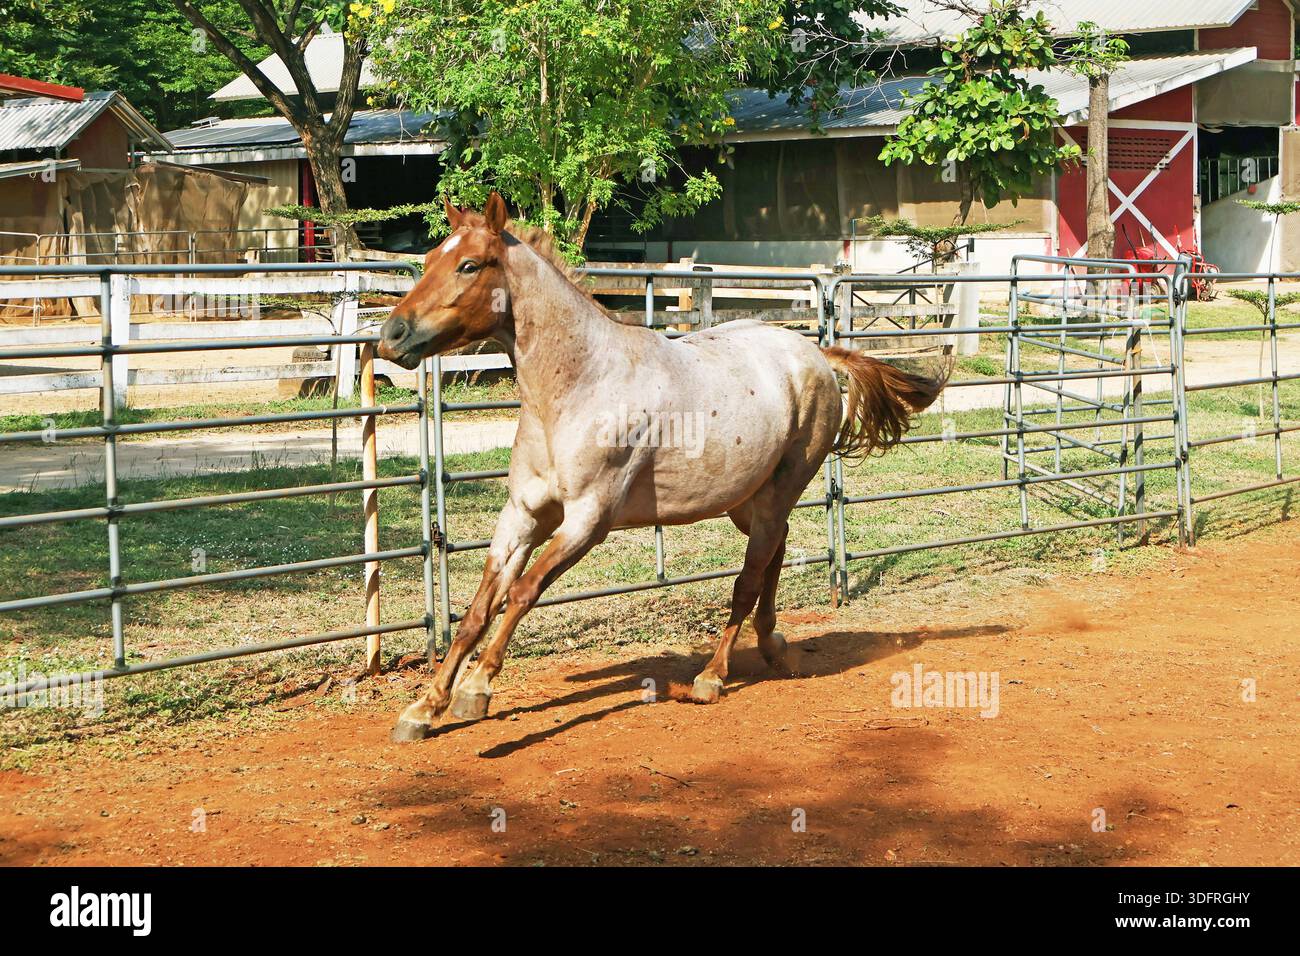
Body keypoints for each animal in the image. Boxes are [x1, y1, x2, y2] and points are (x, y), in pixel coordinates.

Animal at [378, 193, 948, 741]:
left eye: (470, 265)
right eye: (430, 259)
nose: (392, 335)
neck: (578, 385)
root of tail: (816, 355)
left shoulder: (587, 520)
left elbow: (522, 592)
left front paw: (475, 689)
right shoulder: (523, 515)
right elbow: (479, 608)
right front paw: (423, 709)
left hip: (777, 492)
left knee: (748, 578)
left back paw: (712, 677)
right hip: (746, 501)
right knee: (775, 554)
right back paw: (772, 645)